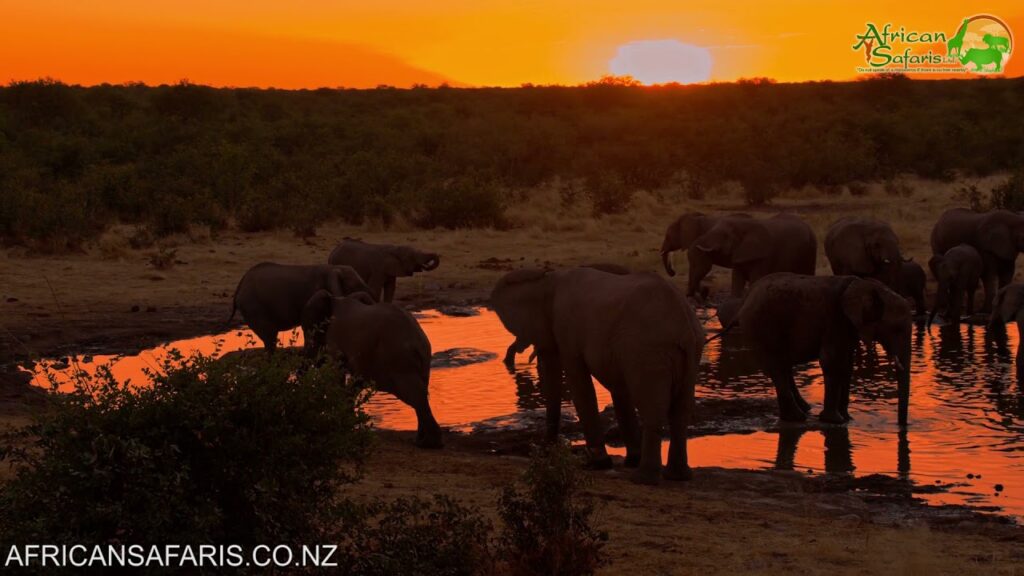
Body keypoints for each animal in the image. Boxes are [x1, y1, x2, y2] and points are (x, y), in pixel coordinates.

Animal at [303, 290, 443, 448]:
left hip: (398, 360)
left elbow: (338, 372)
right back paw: (423, 440)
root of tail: (419, 343)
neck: (334, 299)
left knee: (414, 394)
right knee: (420, 392)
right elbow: (355, 380)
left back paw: (429, 443)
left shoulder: (335, 340)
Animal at [491, 266, 705, 484]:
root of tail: (685, 325)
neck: (550, 280)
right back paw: (677, 476)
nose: (544, 452)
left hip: (649, 349)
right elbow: (620, 391)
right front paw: (631, 460)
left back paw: (643, 478)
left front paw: (598, 464)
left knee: (652, 409)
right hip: (690, 350)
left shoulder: (568, 331)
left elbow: (579, 383)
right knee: (681, 410)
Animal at [685, 213, 817, 297]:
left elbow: (755, 280)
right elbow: (737, 281)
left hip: (810, 250)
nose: (705, 291)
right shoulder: (738, 254)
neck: (743, 226)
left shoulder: (763, 257)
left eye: (724, 236)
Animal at [732, 273, 911, 425]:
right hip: (763, 326)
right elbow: (832, 361)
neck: (864, 284)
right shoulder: (834, 318)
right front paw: (835, 420)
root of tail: (745, 298)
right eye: (897, 329)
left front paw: (847, 419)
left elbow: (846, 365)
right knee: (777, 366)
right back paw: (797, 418)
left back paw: (804, 409)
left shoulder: (849, 326)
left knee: (783, 365)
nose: (901, 425)